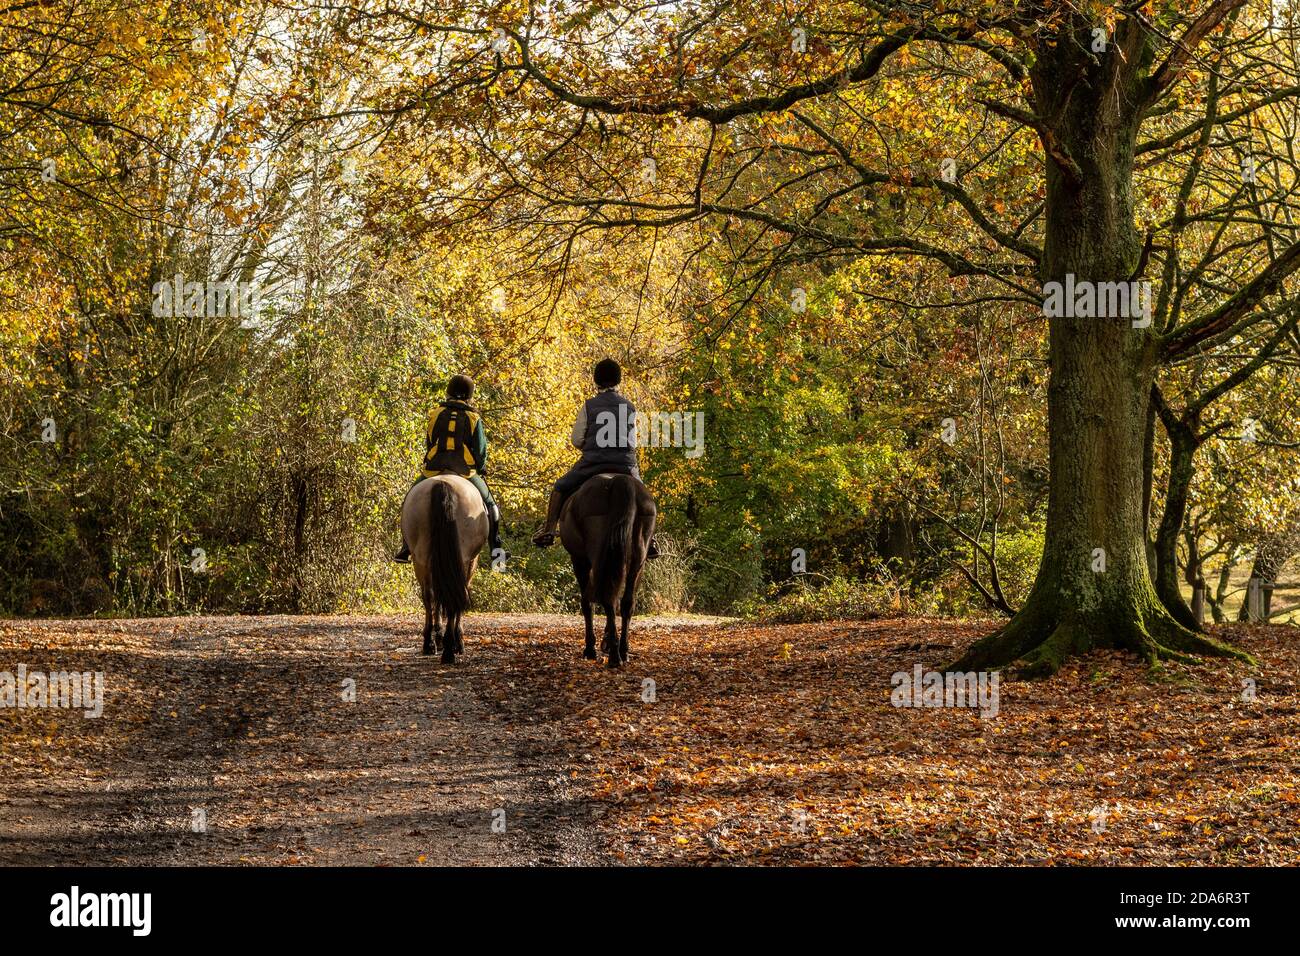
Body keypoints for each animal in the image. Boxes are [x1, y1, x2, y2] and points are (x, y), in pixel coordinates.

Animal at [400, 476, 488, 665]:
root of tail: (443, 483)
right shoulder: (471, 562)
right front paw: (454, 640)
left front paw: (440, 637)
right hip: (457, 559)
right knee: (448, 596)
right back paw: (447, 647)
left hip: (421, 558)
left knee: (430, 596)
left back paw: (434, 645)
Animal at [561, 476, 660, 671]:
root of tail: (620, 481)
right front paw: (606, 641)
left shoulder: (579, 560)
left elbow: (587, 604)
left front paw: (591, 648)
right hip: (638, 559)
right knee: (625, 602)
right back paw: (623, 651)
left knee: (607, 599)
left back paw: (613, 655)